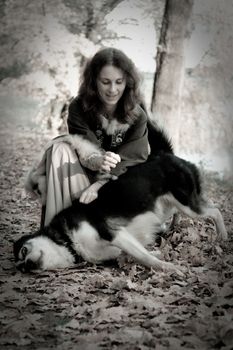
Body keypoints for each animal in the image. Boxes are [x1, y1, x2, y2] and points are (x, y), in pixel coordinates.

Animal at [13, 121, 228, 274]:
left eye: (24, 251)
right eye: (21, 266)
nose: (27, 266)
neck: (67, 240)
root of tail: (163, 153)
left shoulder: (115, 233)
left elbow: (146, 258)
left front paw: (168, 268)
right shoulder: (120, 245)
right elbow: (140, 255)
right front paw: (160, 256)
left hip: (188, 204)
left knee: (215, 211)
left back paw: (222, 237)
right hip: (169, 205)